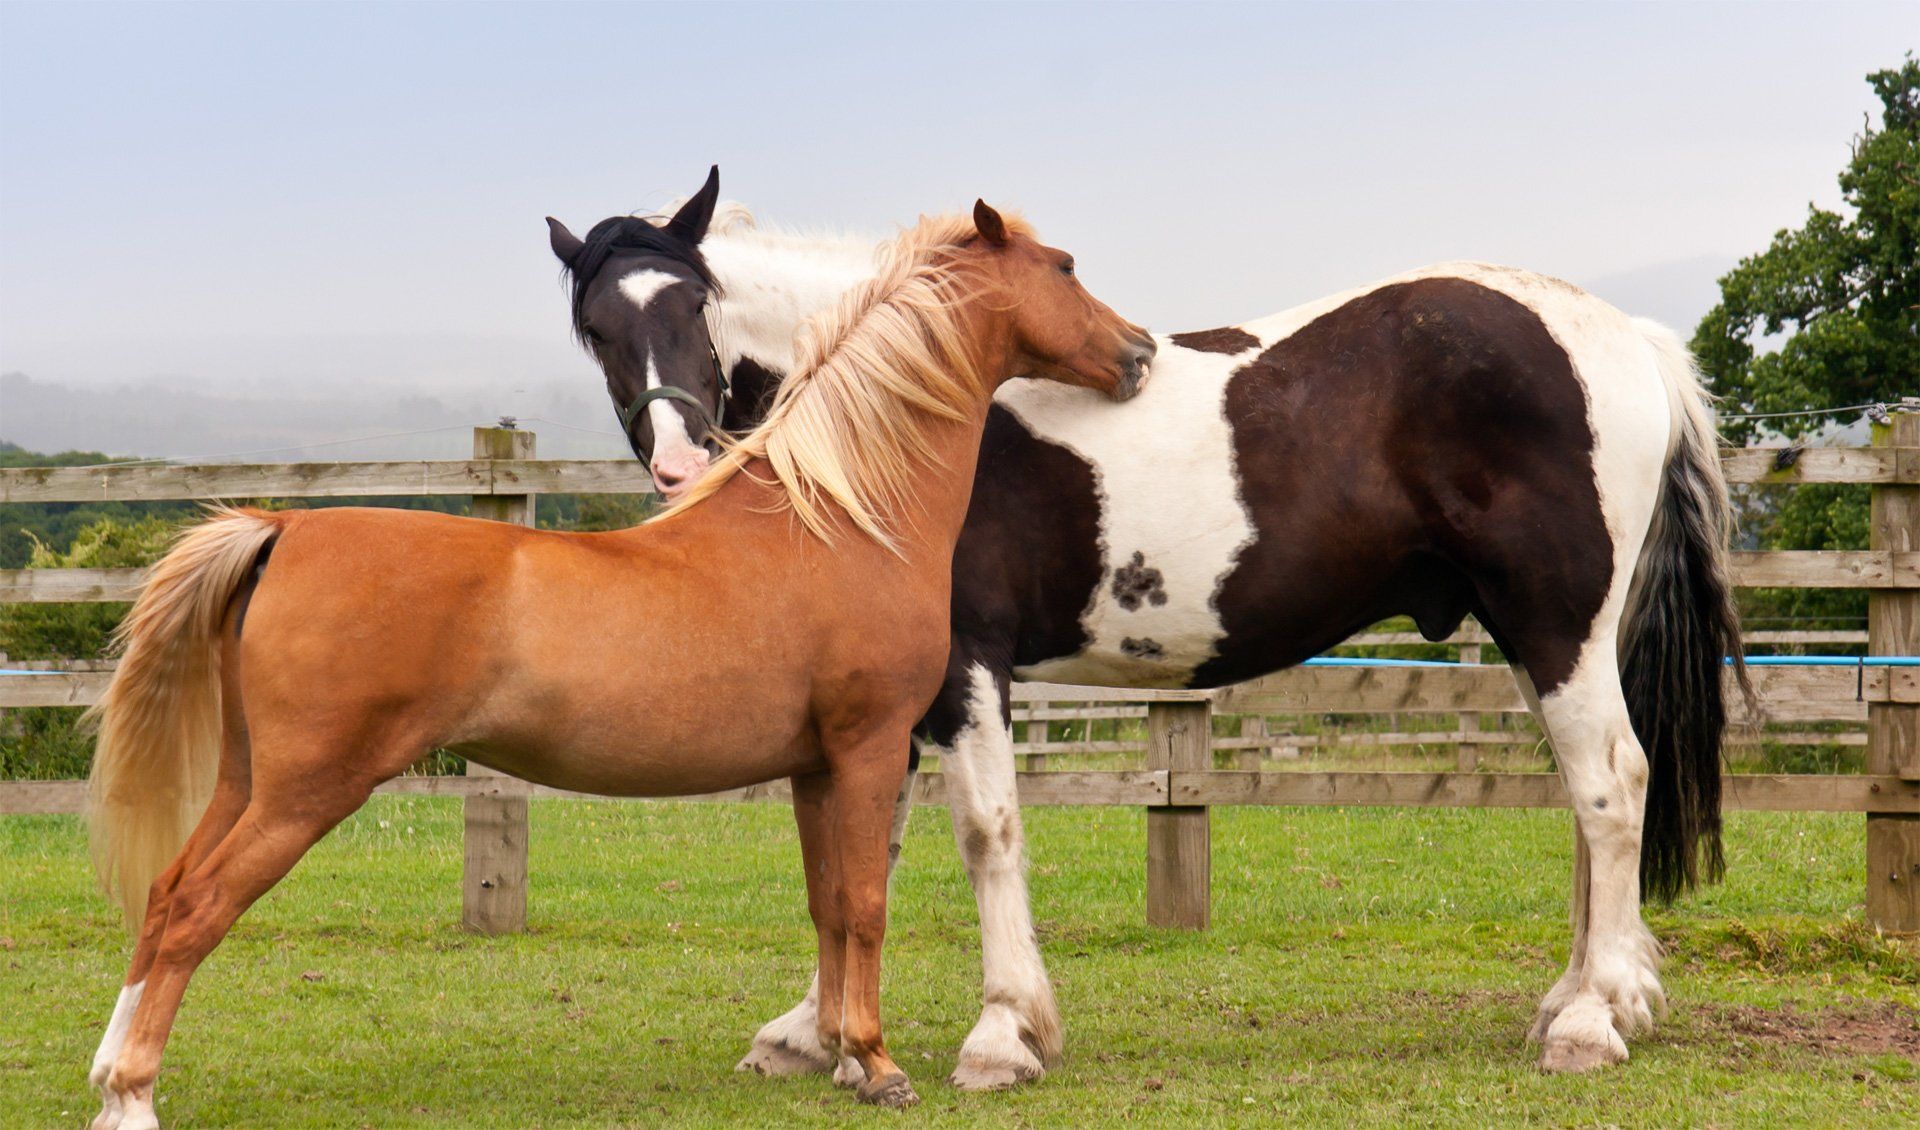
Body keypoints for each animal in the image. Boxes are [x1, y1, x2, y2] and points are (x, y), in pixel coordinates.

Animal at [81, 201, 1156, 1127]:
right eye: (1065, 268)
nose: (1139, 352)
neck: (837, 515)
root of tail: (284, 529)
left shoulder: (815, 767)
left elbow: (826, 906)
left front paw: (834, 1054)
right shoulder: (868, 747)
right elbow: (864, 904)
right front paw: (879, 1063)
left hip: (246, 780)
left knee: (166, 895)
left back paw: (108, 1073)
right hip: (306, 790)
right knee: (196, 911)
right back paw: (132, 1096)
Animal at [547, 168, 1750, 1089]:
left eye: (696, 302)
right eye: (596, 328)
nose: (676, 464)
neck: (899, 415)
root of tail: (1624, 336)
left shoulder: (964, 669)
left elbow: (982, 831)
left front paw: (1002, 1035)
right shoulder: (881, 698)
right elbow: (861, 851)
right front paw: (812, 1032)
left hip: (1557, 625)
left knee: (1611, 787)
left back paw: (1592, 1019)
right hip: (1539, 637)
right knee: (1588, 804)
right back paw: (1575, 999)